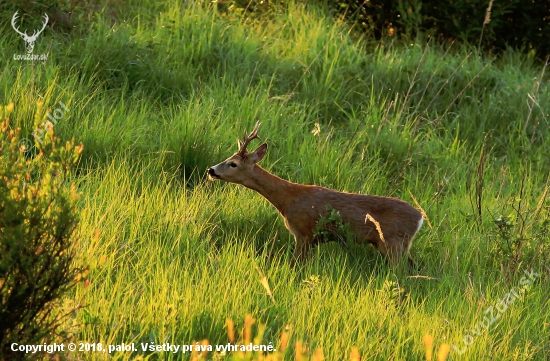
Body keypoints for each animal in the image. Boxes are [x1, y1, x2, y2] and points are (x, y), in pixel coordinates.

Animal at [209, 122, 424, 266]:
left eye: (233, 164)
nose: (211, 170)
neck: (287, 200)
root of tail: (420, 217)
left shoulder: (304, 233)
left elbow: (296, 265)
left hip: (394, 242)